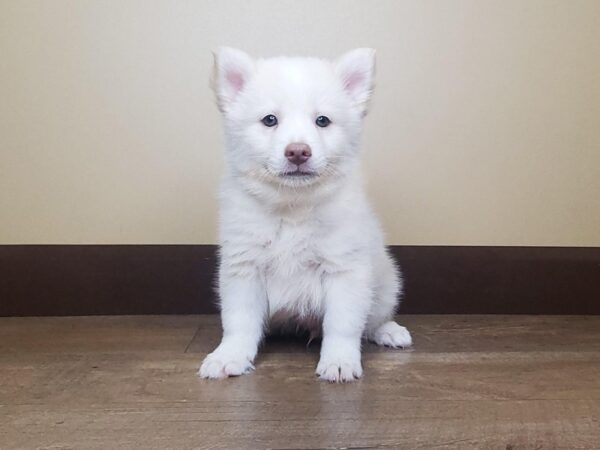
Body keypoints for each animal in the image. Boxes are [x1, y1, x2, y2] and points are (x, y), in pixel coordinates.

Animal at [199, 47, 410, 382]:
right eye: (269, 120)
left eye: (322, 121)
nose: (298, 151)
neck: (293, 206)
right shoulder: (244, 268)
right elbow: (239, 322)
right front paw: (229, 355)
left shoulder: (344, 270)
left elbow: (343, 324)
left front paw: (339, 360)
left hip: (386, 285)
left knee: (373, 319)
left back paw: (388, 331)